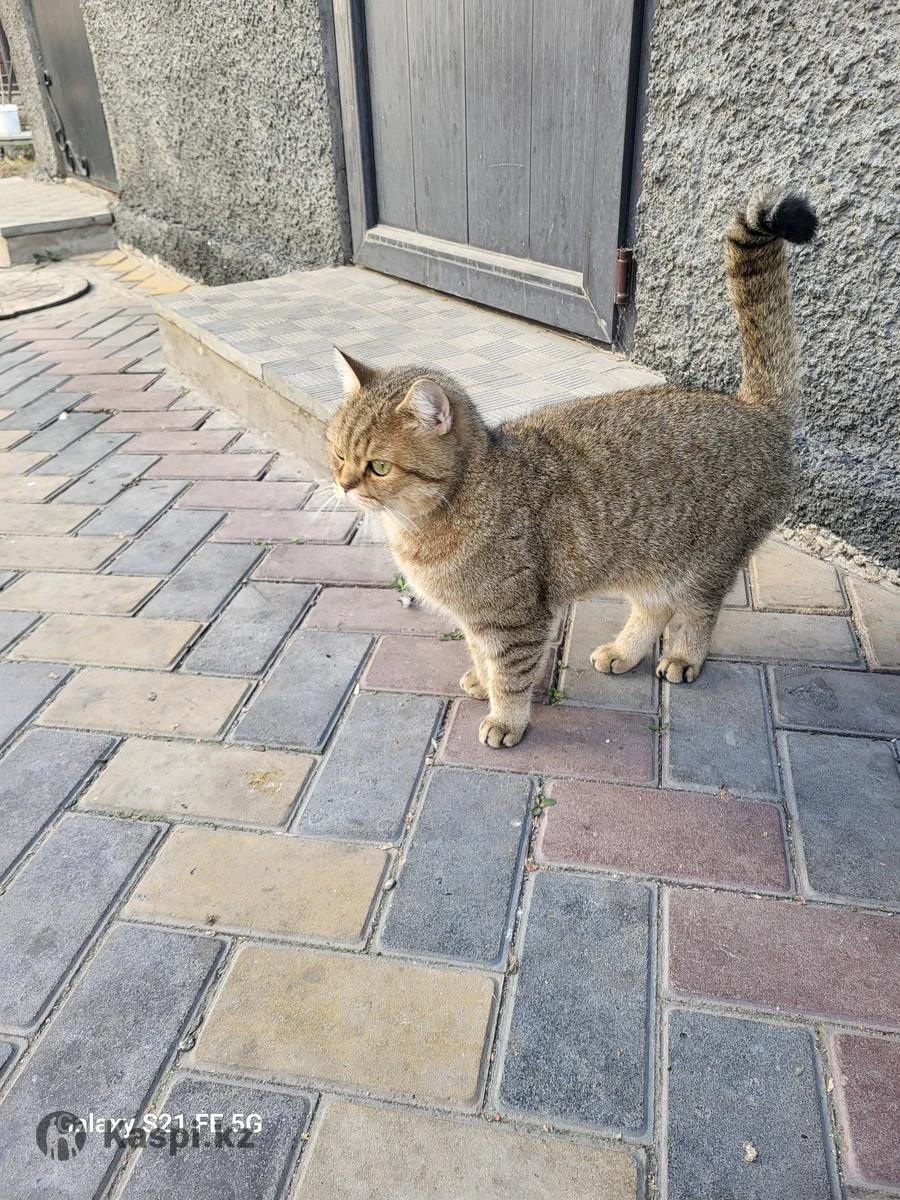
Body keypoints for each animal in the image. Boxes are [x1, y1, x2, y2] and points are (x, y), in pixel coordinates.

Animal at [327, 189, 817, 749]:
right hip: (647, 558)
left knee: (696, 611)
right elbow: (481, 654)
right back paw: (624, 650)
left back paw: (682, 656)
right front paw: (481, 681)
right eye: (338, 454)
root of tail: (754, 409)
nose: (341, 484)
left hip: (705, 562)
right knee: (653, 607)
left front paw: (505, 718)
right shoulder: (477, 618)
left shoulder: (516, 618)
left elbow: (512, 674)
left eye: (378, 466)